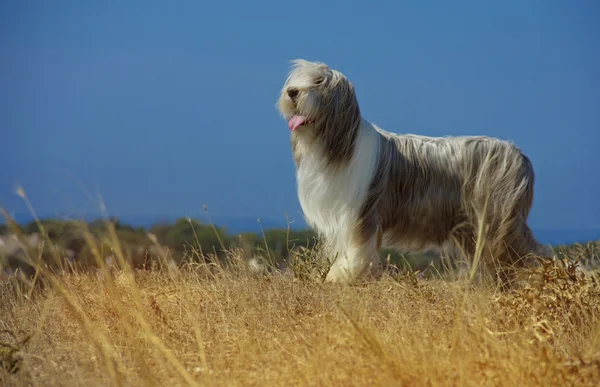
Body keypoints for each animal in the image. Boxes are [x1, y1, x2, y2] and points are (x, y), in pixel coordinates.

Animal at [276, 59, 548, 286]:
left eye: (319, 82)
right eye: (298, 80)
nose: (292, 92)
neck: (339, 144)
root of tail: (520, 156)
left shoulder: (361, 213)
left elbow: (357, 249)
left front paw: (342, 276)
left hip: (498, 219)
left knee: (525, 252)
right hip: (473, 227)